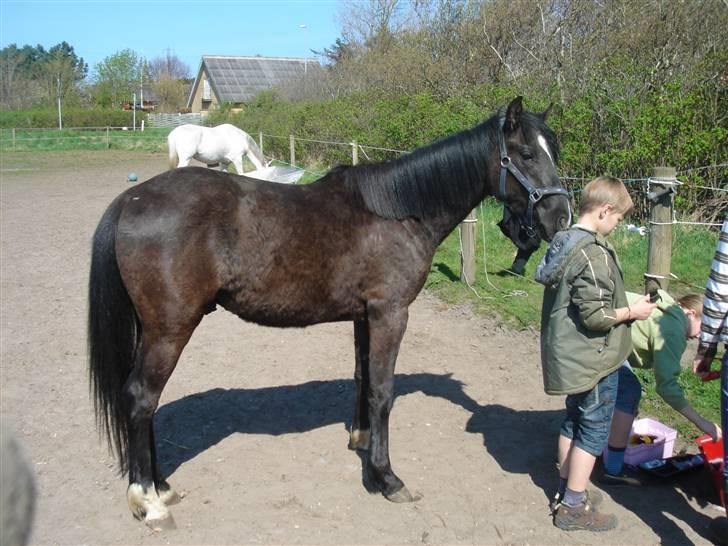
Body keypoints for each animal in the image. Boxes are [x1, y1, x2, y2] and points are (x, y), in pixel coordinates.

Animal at [88, 96, 572, 528]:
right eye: (527, 154)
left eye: (554, 149)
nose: (561, 216)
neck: (398, 212)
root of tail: (131, 200)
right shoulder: (390, 314)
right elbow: (383, 391)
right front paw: (387, 478)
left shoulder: (364, 315)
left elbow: (362, 377)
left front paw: (361, 441)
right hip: (170, 330)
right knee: (141, 399)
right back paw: (149, 502)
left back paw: (161, 486)